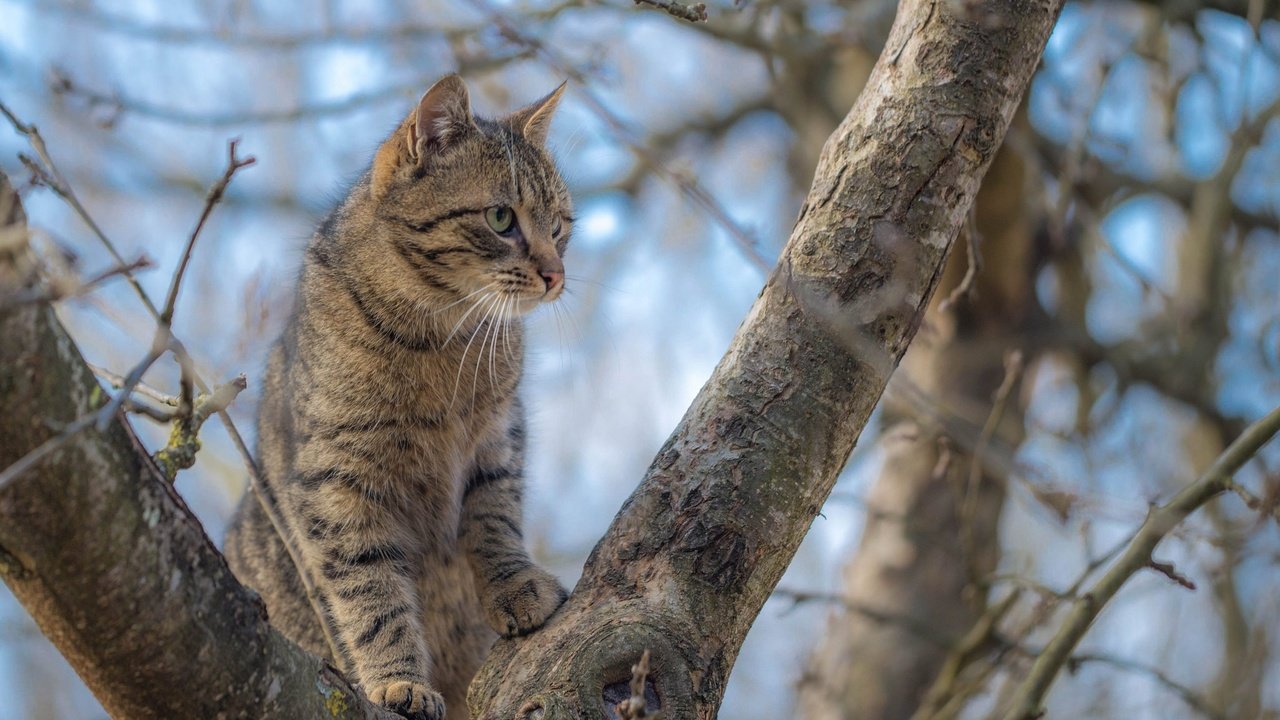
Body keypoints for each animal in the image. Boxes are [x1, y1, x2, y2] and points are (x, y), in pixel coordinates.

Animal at [225, 74, 576, 717]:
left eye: (561, 225)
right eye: (501, 218)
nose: (556, 275)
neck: (444, 339)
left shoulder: (498, 440)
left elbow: (494, 523)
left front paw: (513, 585)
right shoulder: (337, 485)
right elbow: (371, 595)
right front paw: (397, 681)